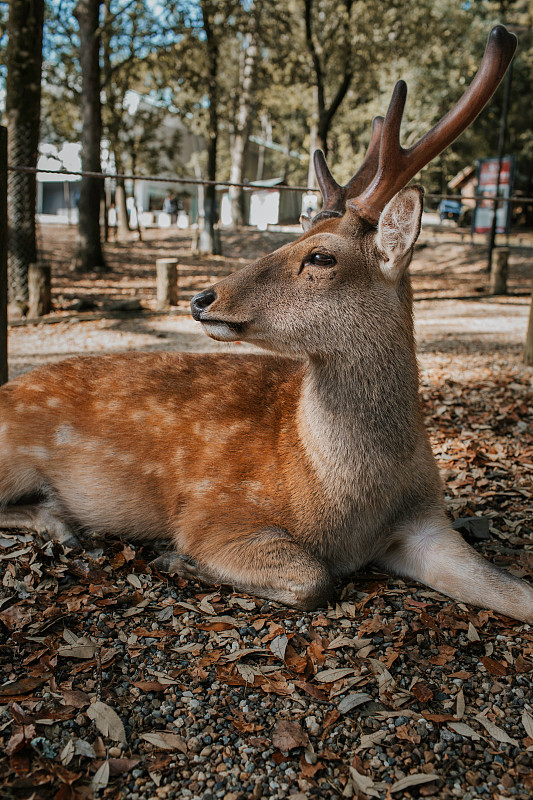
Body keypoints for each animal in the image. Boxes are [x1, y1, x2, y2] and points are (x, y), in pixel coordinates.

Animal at [1, 28, 532, 620]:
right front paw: (178, 559)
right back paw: (59, 522)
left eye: (320, 255)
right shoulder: (214, 509)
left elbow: (517, 594)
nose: (201, 298)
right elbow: (313, 578)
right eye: (292, 237)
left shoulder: (426, 520)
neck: (345, 497)